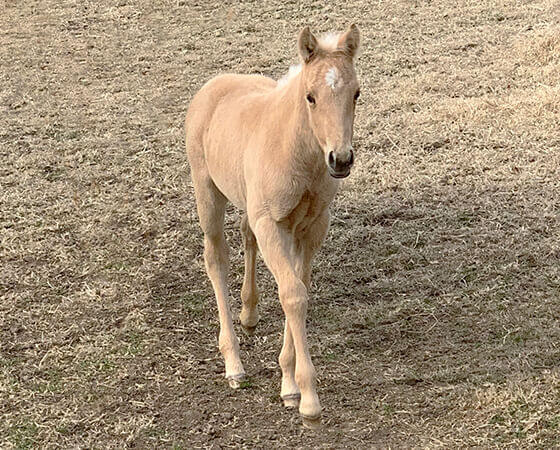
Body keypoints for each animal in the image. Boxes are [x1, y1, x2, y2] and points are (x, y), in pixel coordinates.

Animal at [186, 24, 360, 426]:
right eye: (311, 97)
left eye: (357, 94)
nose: (341, 159)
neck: (296, 152)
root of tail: (213, 85)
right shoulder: (272, 225)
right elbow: (293, 294)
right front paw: (308, 399)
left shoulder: (310, 227)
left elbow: (298, 287)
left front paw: (289, 384)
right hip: (207, 193)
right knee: (215, 258)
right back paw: (233, 363)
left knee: (244, 235)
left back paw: (249, 315)